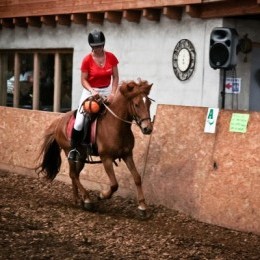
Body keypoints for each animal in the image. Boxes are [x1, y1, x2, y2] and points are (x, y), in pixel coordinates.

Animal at [35, 79, 153, 217]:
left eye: (149, 103)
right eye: (136, 104)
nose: (147, 128)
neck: (116, 126)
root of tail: (59, 121)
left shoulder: (127, 155)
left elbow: (137, 178)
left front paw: (142, 207)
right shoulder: (106, 158)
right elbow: (114, 184)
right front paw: (102, 195)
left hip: (81, 156)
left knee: (75, 174)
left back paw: (77, 199)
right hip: (69, 152)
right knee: (73, 174)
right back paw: (87, 200)